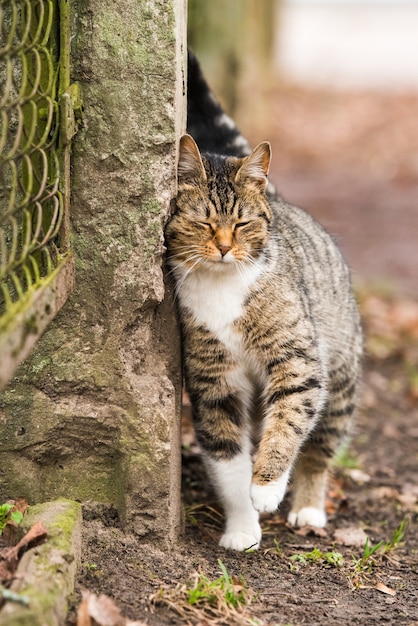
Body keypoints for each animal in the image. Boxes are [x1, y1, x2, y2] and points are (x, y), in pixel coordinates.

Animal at [165, 54, 360, 552]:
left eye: (242, 223)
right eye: (203, 223)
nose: (224, 248)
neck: (222, 285)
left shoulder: (298, 360)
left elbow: (289, 419)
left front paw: (268, 486)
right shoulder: (214, 380)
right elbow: (227, 457)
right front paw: (242, 527)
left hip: (342, 373)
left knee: (322, 445)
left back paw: (308, 505)